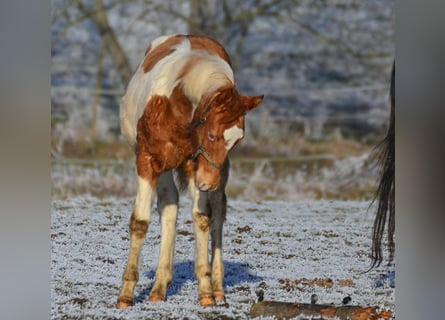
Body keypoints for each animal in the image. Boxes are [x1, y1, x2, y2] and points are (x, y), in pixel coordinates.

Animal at [116, 34, 264, 308]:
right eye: (212, 135)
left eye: (237, 140)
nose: (208, 183)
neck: (177, 102)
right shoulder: (147, 162)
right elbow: (141, 222)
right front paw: (126, 296)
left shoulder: (200, 167)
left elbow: (203, 218)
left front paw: (206, 291)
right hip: (166, 169)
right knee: (169, 206)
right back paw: (158, 288)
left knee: (217, 212)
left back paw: (217, 288)